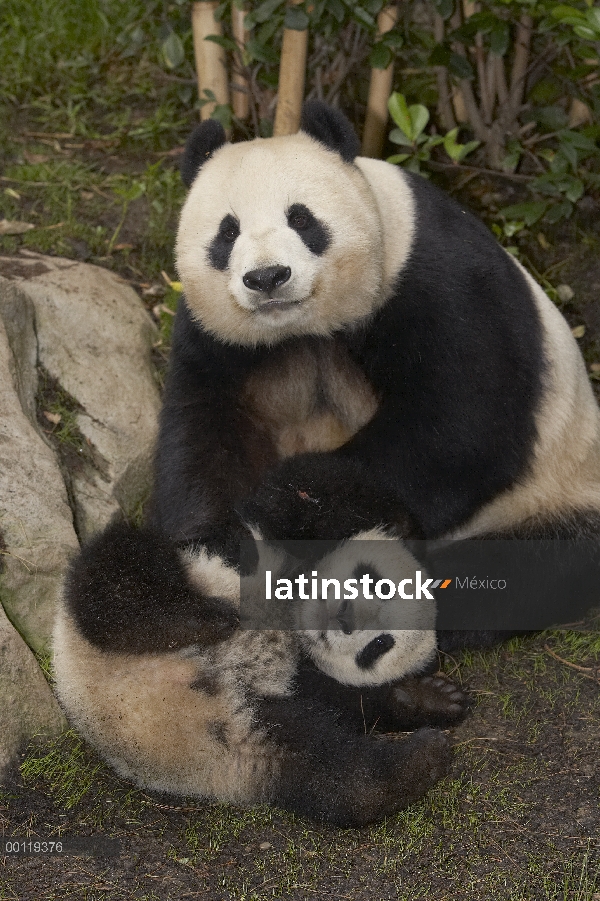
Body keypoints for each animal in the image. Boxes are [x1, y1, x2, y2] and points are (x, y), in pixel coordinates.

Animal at [51, 102, 600, 828]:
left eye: (303, 219)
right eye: (225, 233)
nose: (266, 278)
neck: (300, 327)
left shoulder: (435, 279)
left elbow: (464, 419)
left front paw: (294, 496)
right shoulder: (213, 336)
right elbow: (201, 428)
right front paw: (223, 535)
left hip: (560, 494)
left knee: (532, 569)